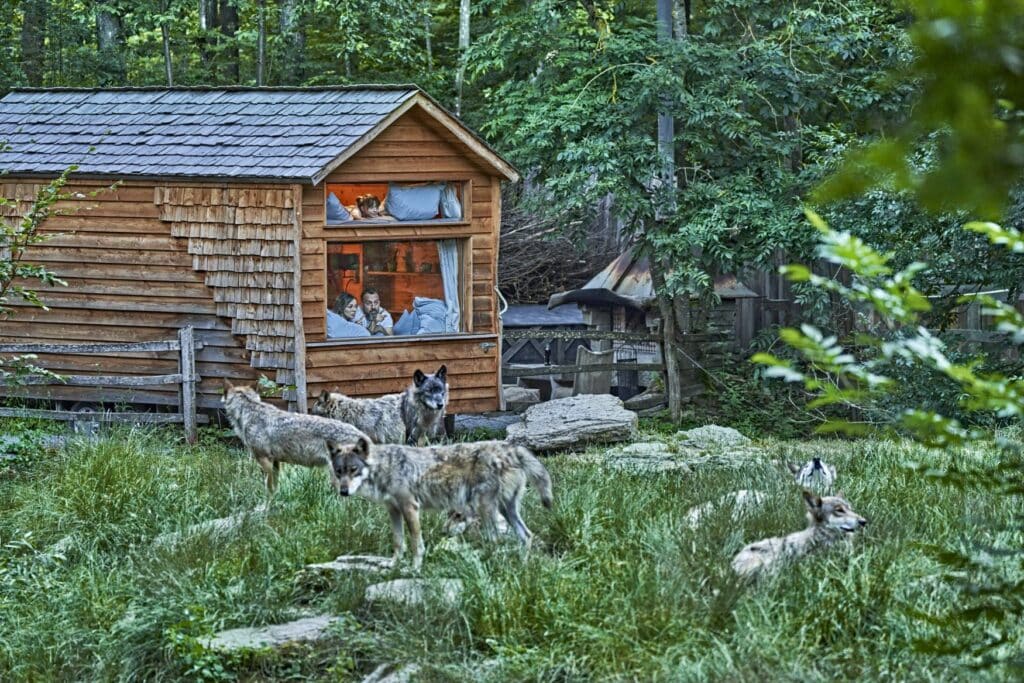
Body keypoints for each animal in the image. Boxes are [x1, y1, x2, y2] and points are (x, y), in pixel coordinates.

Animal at [222, 378, 374, 497]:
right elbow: (275, 487)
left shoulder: (265, 460)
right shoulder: (276, 462)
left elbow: (268, 488)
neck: (250, 411)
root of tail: (362, 435)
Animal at [327, 436, 552, 569]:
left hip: (486, 509)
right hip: (506, 510)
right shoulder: (393, 510)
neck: (385, 466)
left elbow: (416, 543)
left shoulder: (410, 507)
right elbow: (398, 541)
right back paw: (522, 566)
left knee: (496, 539)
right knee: (526, 535)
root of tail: (511, 448)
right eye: (338, 472)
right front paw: (393, 565)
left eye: (353, 470)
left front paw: (414, 569)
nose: (343, 492)